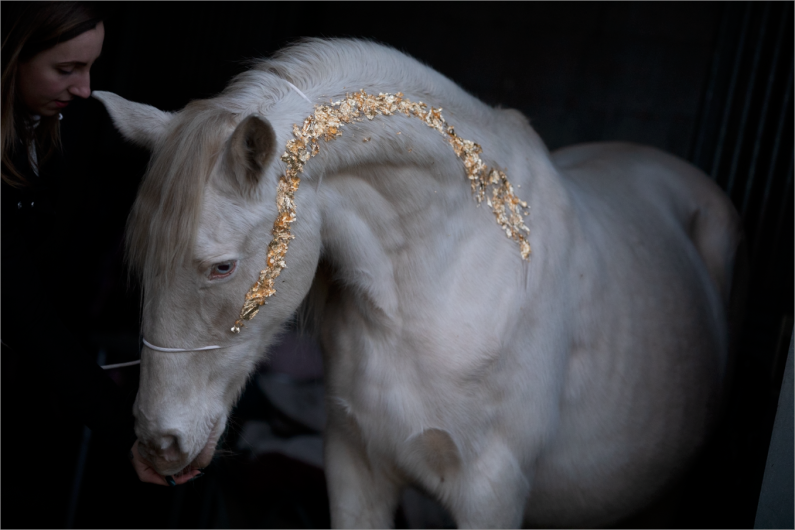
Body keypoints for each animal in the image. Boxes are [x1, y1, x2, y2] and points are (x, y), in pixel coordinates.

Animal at [95, 39, 748, 524]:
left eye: (221, 267)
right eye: (143, 261)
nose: (157, 445)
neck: (442, 285)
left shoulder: (491, 494)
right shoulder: (354, 469)